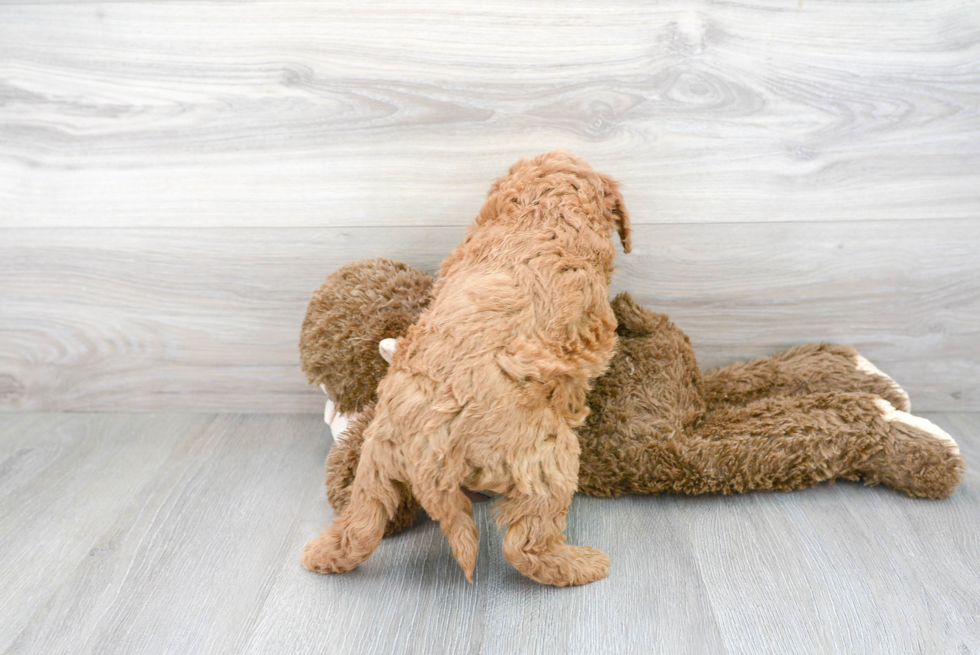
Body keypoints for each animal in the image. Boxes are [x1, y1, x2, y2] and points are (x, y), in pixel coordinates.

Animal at [302, 151, 632, 588]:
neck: (540, 209)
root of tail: (426, 448)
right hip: (547, 457)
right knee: (526, 542)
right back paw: (579, 565)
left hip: (374, 465)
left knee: (360, 523)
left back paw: (321, 555)